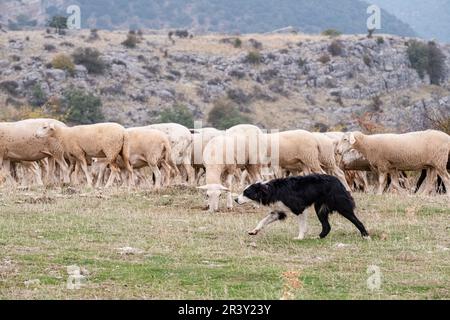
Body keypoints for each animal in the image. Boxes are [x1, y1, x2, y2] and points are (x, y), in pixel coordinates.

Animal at [236, 174, 370, 239]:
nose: (235, 199)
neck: (269, 190)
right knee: (327, 226)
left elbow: (301, 225)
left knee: (355, 220)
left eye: (246, 193)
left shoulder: (298, 207)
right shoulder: (278, 210)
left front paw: (299, 237)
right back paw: (318, 237)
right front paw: (254, 231)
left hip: (340, 203)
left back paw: (366, 236)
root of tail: (338, 181)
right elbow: (263, 220)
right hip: (320, 207)